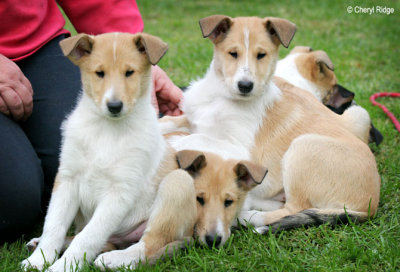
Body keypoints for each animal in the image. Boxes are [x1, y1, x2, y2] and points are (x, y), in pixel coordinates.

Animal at [21, 32, 173, 272]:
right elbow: (53, 225)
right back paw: (37, 244)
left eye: (129, 72)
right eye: (100, 73)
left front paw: (62, 266)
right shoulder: (67, 179)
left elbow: (88, 236)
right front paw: (39, 259)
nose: (114, 106)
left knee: (147, 245)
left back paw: (114, 260)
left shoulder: (119, 192)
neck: (106, 129)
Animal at [164, 15, 380, 232]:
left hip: (302, 147)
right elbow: (169, 122)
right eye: (233, 53)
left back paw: (247, 217)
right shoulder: (192, 119)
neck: (221, 96)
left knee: (293, 208)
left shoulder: (240, 150)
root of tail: (369, 208)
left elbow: (196, 137)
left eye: (261, 55)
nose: (245, 86)